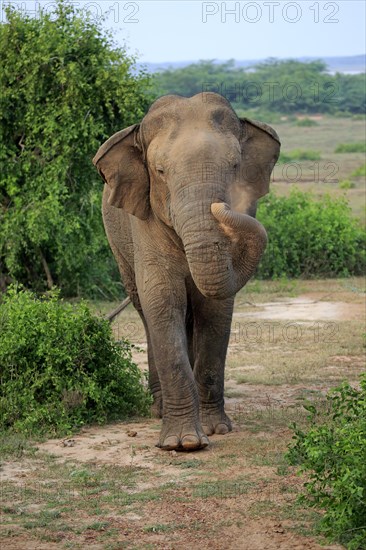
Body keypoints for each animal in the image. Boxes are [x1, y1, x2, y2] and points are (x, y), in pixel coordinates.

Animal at [92, 91, 280, 452]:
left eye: (235, 167)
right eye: (160, 171)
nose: (221, 206)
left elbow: (216, 309)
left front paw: (216, 429)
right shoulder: (144, 219)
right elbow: (163, 302)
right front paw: (183, 444)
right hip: (116, 241)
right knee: (145, 310)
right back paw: (158, 409)